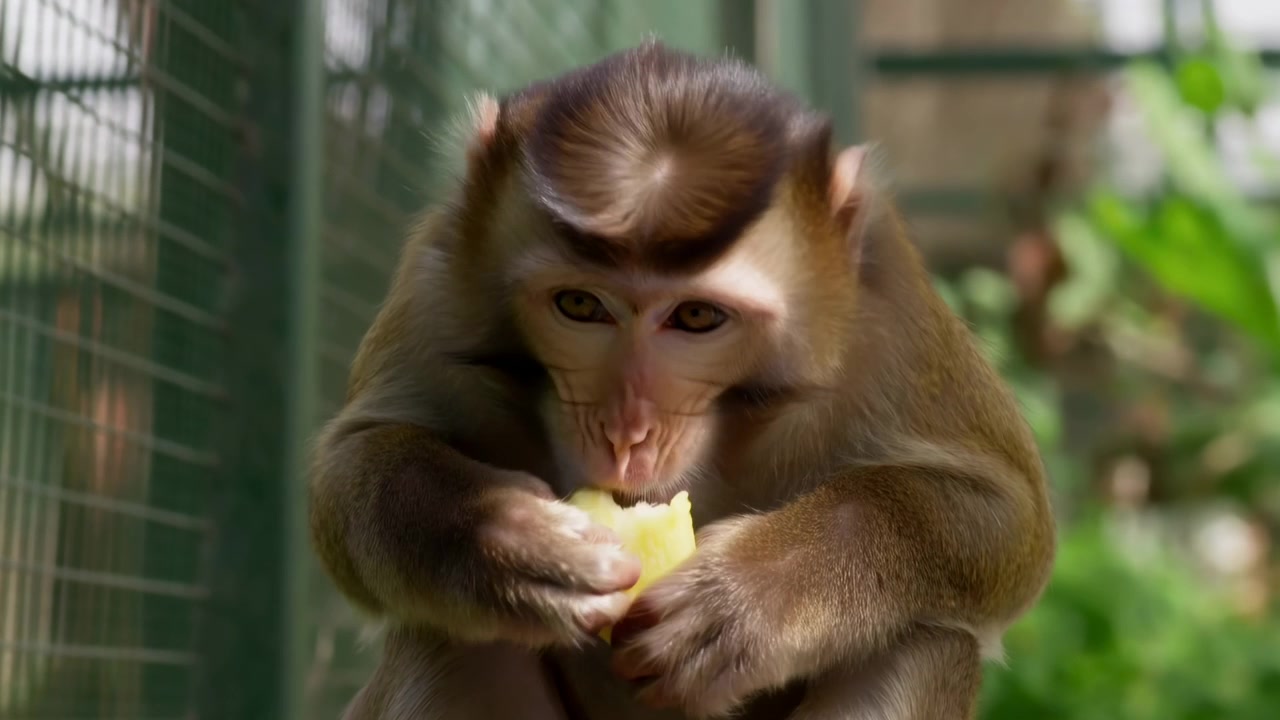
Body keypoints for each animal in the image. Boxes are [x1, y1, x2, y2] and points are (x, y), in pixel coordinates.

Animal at [308, 40, 1056, 720]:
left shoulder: (890, 311)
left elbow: (1007, 520)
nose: (627, 433)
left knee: (923, 639)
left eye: (697, 316)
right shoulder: (437, 278)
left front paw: (756, 595)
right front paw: (499, 538)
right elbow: (349, 473)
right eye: (580, 305)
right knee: (448, 635)